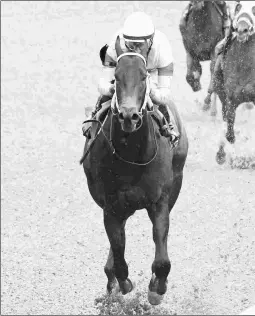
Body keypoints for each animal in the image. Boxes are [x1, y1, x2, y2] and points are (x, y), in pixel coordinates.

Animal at [79, 35, 189, 304]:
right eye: (116, 76)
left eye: (143, 76)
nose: (129, 116)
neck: (131, 156)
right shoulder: (111, 205)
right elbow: (118, 249)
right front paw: (122, 282)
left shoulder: (159, 202)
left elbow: (162, 255)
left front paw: (157, 289)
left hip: (176, 182)